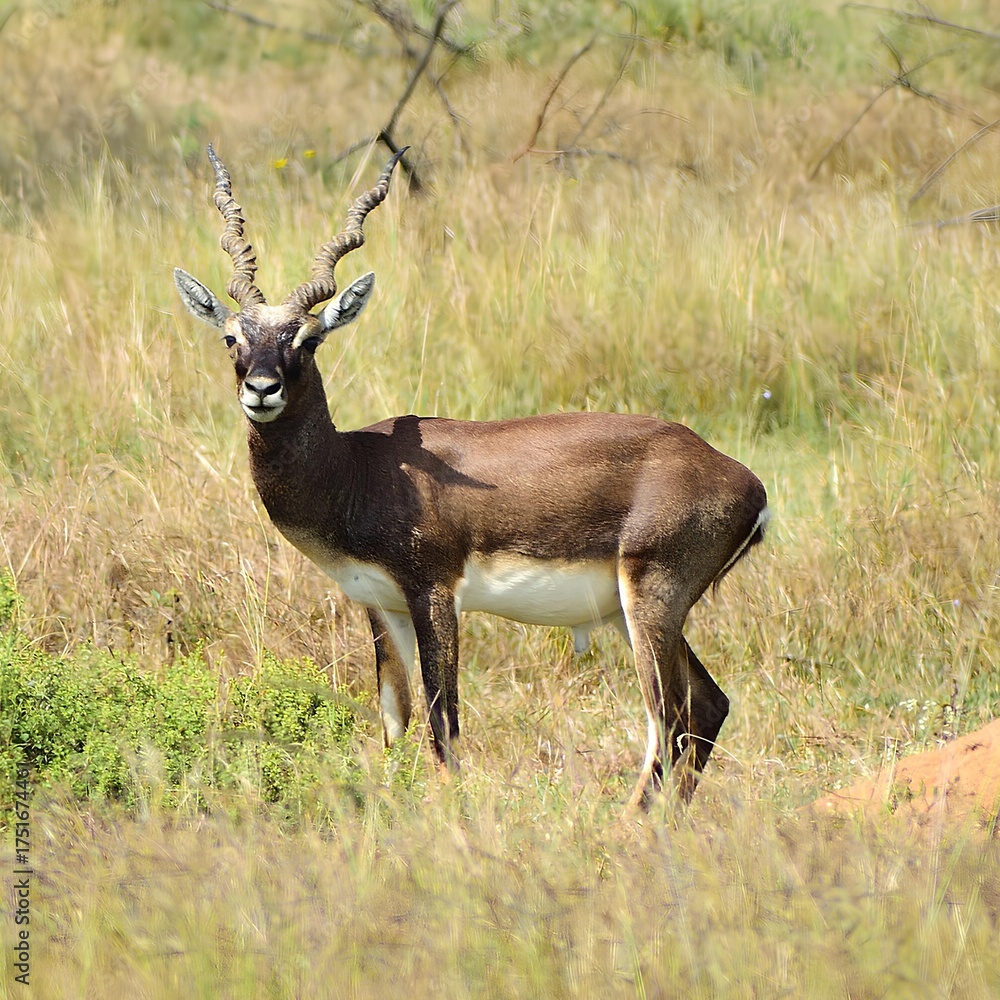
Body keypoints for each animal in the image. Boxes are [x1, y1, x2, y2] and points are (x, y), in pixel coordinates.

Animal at [174, 145, 770, 808]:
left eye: (307, 339)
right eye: (233, 337)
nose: (262, 389)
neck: (358, 469)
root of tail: (742, 479)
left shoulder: (434, 592)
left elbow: (444, 725)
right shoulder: (380, 604)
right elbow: (395, 721)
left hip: (650, 602)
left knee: (667, 717)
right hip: (633, 611)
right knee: (708, 706)